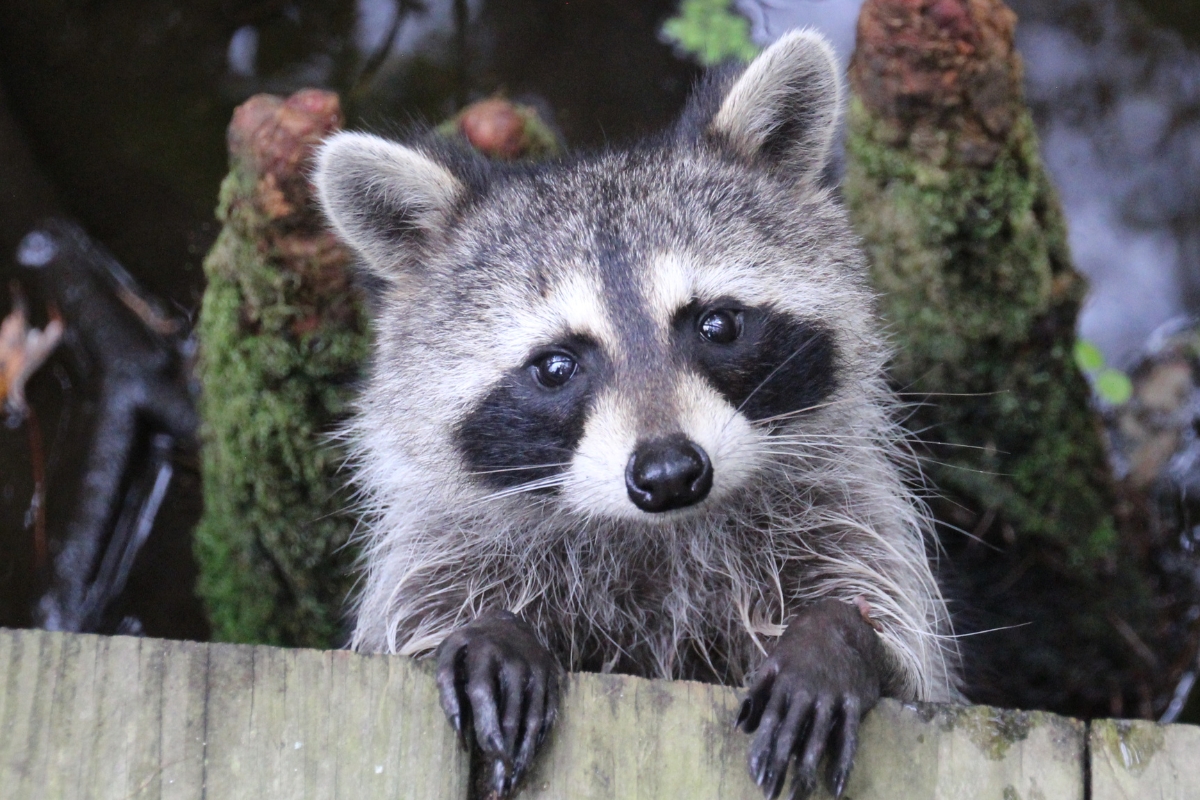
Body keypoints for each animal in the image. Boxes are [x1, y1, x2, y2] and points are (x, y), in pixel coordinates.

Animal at [315, 29, 961, 800]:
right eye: (556, 366)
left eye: (718, 325)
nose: (670, 472)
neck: (659, 538)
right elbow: (420, 615)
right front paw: (490, 630)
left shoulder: (838, 515)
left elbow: (902, 650)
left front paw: (835, 635)